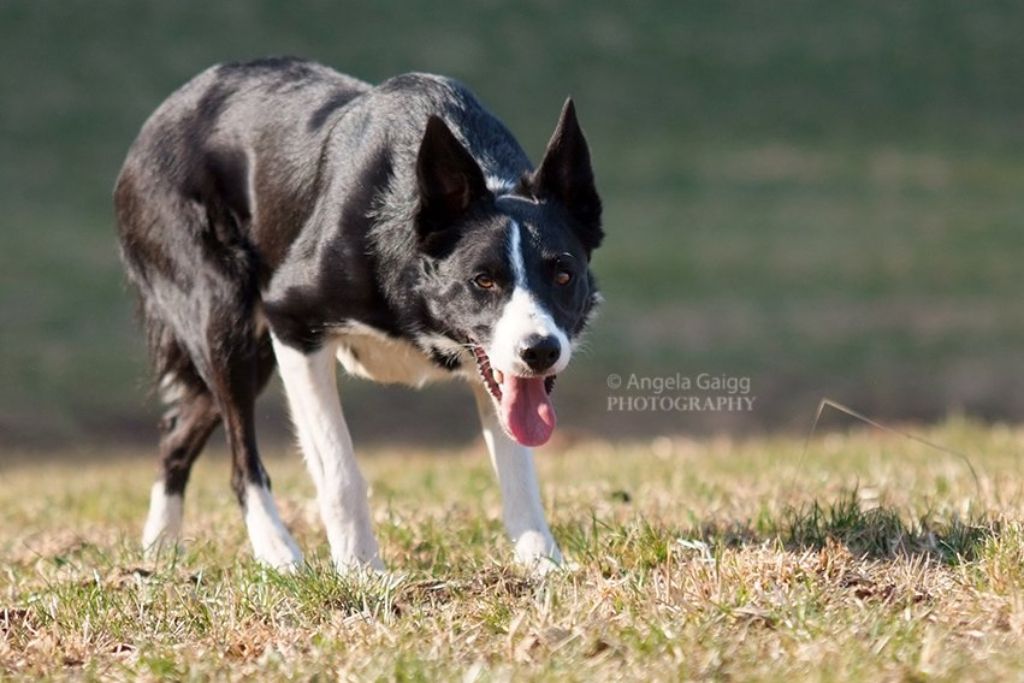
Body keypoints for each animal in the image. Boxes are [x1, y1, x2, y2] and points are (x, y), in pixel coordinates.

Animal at [116, 57, 602, 573]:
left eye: (563, 274)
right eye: (483, 280)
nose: (540, 351)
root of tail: (163, 114)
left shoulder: (496, 375)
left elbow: (518, 472)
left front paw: (542, 564)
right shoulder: (292, 323)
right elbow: (339, 471)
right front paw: (362, 571)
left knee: (176, 433)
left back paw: (158, 550)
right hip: (224, 319)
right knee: (241, 456)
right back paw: (277, 552)